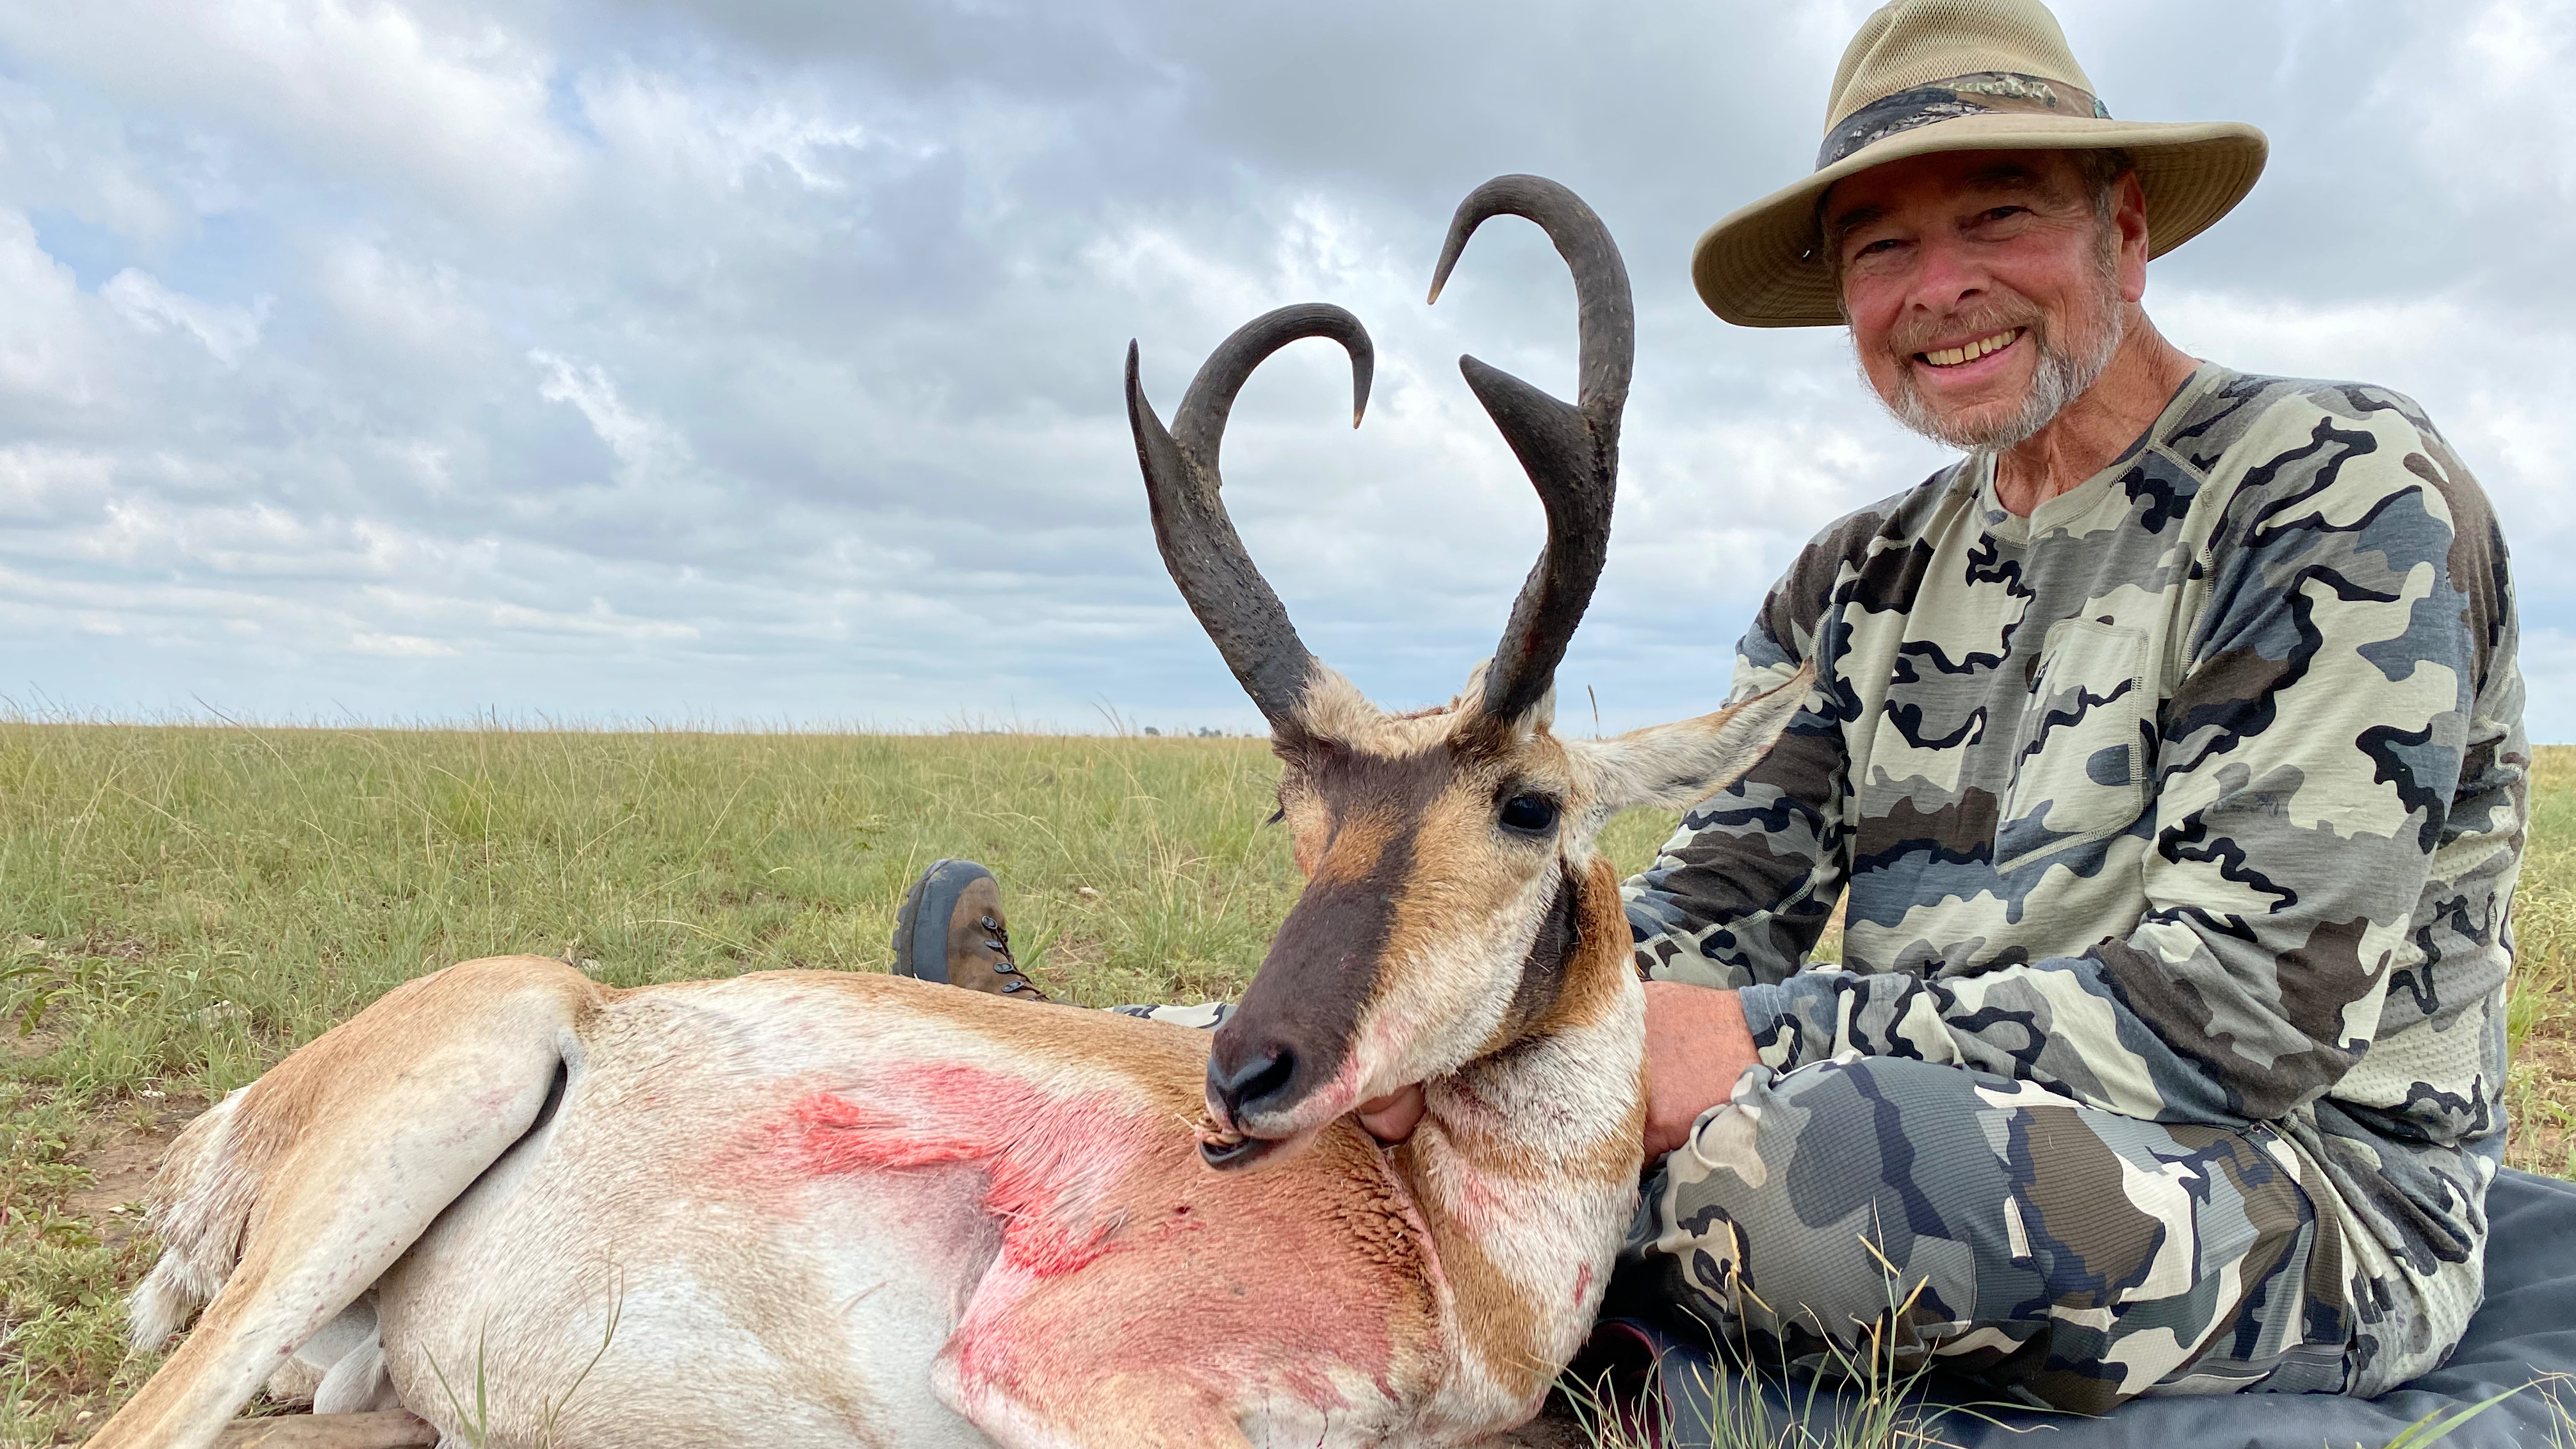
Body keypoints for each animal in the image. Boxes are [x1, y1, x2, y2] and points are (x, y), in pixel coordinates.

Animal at [93, 175, 1808, 1449]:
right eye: (1290, 810)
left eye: (1527, 802)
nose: (1244, 1077)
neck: (1443, 1244)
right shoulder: (1071, 1387)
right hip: (462, 1078)